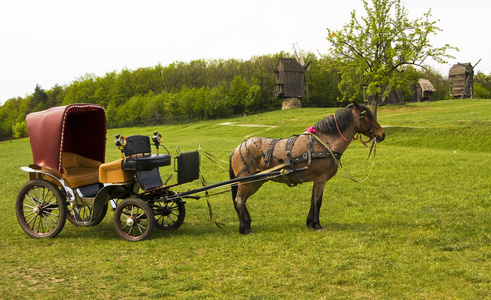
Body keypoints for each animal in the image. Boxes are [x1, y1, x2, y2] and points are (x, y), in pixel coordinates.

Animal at [229, 103, 386, 234]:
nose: (382, 134)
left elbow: (312, 200)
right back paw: (244, 228)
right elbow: (318, 201)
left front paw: (310, 223)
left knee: (241, 201)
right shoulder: (321, 178)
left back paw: (247, 224)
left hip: (255, 182)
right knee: (239, 200)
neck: (325, 143)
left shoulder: (317, 179)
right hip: (246, 181)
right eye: (368, 116)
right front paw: (317, 225)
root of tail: (237, 148)